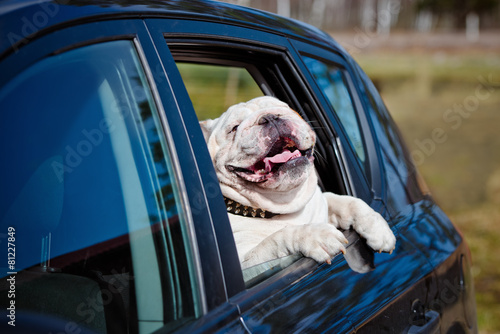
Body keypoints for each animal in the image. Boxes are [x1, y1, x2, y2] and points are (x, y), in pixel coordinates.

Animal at [199, 96, 394, 268]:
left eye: (284, 108)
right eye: (234, 128)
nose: (270, 117)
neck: (281, 204)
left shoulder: (321, 201)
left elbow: (347, 201)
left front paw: (377, 228)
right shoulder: (247, 262)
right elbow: (277, 237)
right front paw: (317, 236)